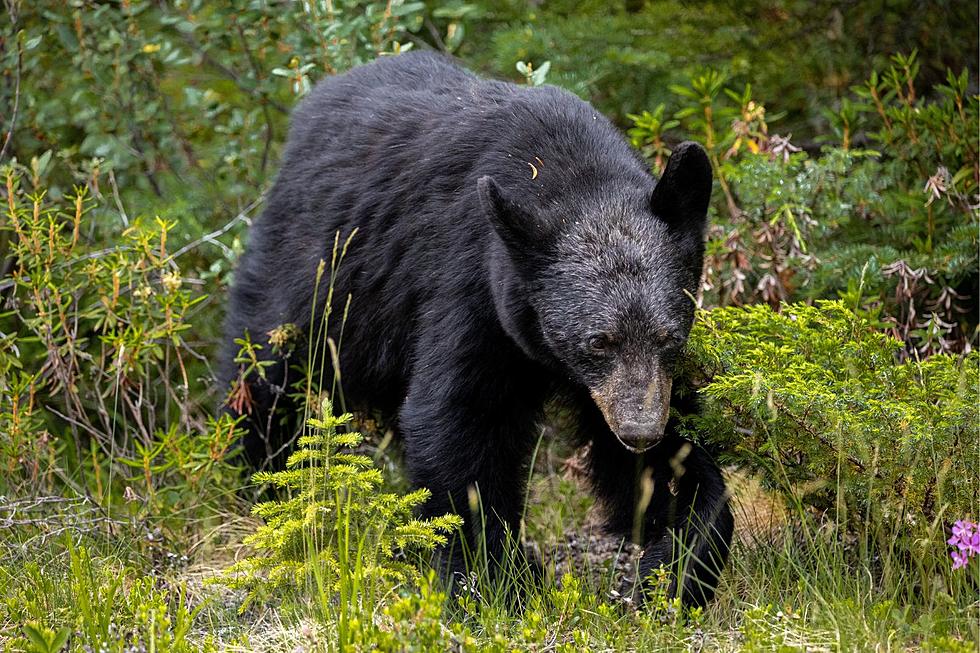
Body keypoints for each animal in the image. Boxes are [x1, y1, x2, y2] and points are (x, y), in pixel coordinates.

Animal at [218, 51, 732, 608]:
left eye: (668, 336)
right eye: (598, 341)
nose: (639, 432)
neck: (568, 172)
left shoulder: (632, 382)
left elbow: (669, 459)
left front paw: (676, 564)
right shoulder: (472, 285)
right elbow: (461, 419)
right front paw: (497, 580)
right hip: (316, 272)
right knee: (265, 373)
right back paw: (263, 481)